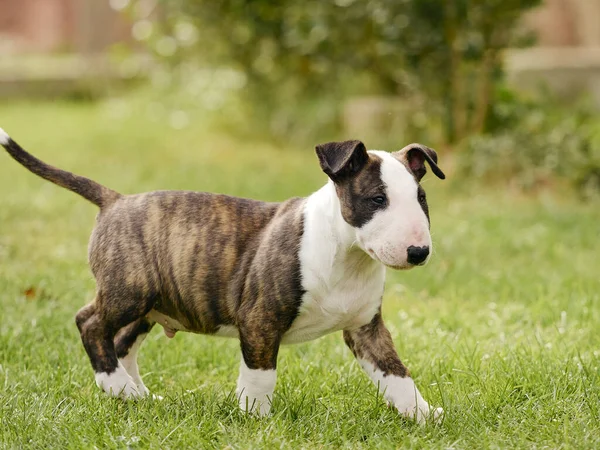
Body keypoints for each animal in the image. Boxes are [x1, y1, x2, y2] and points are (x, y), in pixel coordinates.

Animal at [1, 128, 446, 424]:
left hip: (150, 303)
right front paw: (257, 419)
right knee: (90, 323)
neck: (348, 254)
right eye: (377, 199)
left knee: (123, 342)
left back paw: (135, 396)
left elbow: (397, 375)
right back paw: (117, 386)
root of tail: (115, 201)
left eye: (422, 198)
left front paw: (424, 415)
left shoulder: (366, 330)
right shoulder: (259, 320)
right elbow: (260, 376)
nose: (419, 252)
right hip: (129, 290)